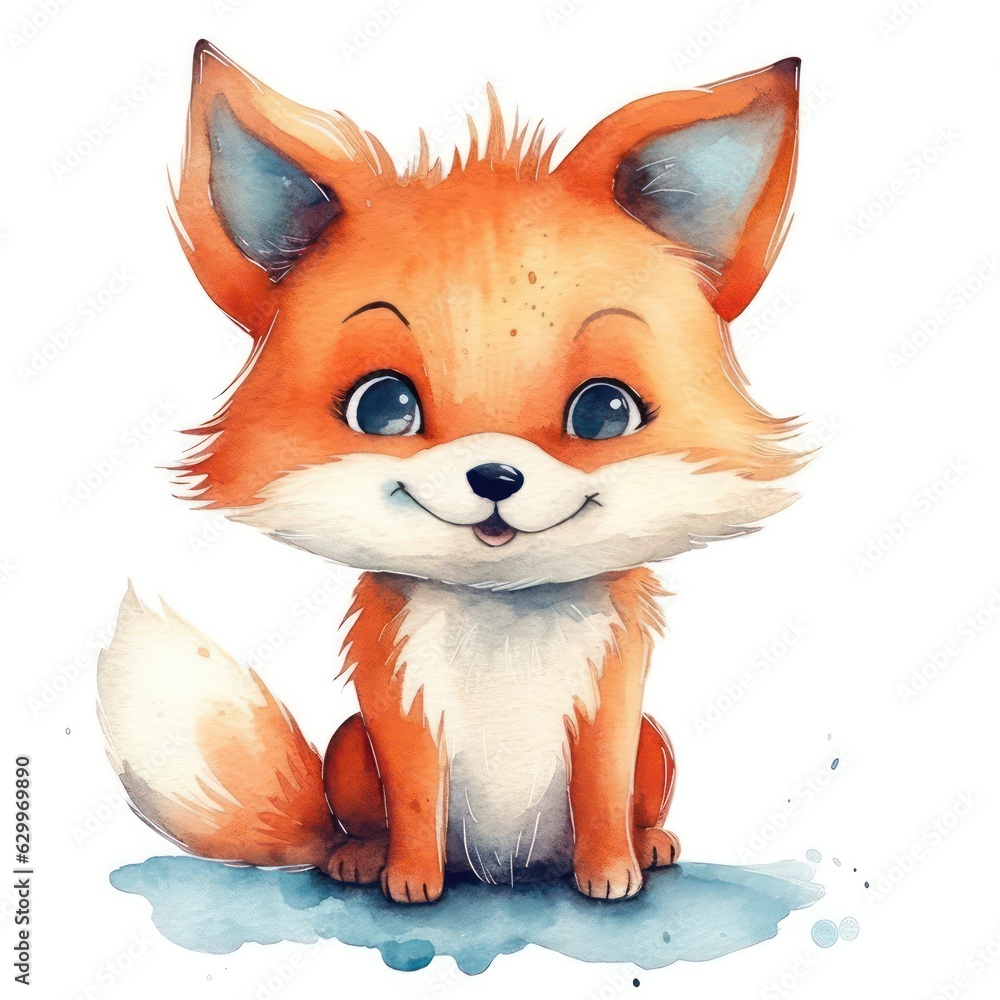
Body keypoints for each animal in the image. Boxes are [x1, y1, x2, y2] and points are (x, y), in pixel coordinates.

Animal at [98, 40, 803, 904]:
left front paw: (611, 872)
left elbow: (601, 794)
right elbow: (414, 795)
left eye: (606, 412)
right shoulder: (397, 702)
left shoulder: (613, 703)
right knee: (352, 824)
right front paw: (409, 879)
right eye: (383, 406)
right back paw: (358, 857)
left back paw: (651, 844)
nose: (496, 475)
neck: (501, 614)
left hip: (657, 747)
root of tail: (505, 869)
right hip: (347, 748)